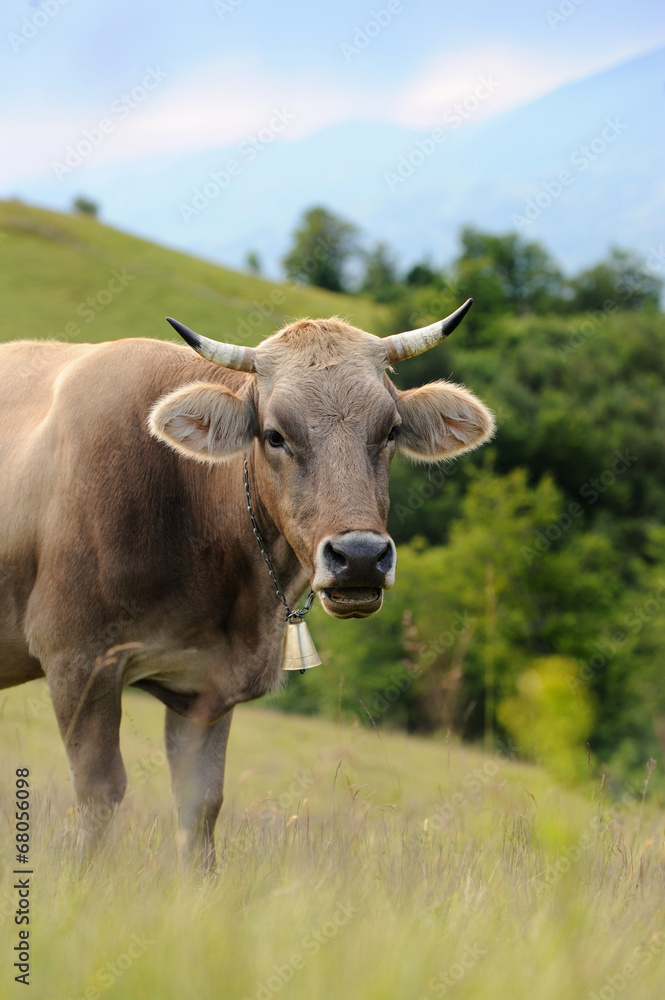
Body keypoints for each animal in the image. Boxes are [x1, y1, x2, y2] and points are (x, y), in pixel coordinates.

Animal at [0, 302, 492, 868]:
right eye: (275, 434)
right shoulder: (77, 658)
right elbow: (99, 794)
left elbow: (200, 808)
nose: (360, 558)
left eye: (390, 430)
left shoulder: (206, 687)